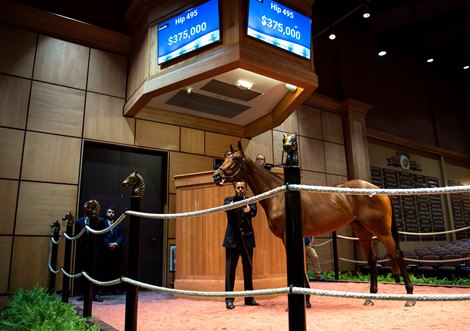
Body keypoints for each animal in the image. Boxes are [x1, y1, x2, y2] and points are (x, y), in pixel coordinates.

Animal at [214, 141, 414, 308]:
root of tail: (377, 189)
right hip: (363, 231)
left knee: (397, 254)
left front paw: (304, 301)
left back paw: (410, 297)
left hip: (381, 230)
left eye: (235, 159)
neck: (282, 196)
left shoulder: (288, 237)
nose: (216, 175)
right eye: (226, 158)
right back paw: (370, 298)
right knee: (372, 259)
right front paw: (307, 299)